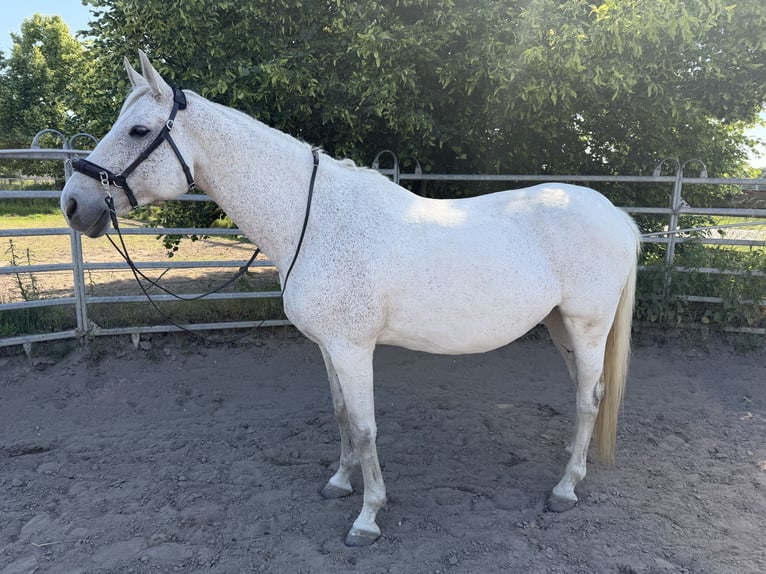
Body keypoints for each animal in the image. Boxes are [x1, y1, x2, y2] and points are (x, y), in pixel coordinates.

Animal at [61, 51, 641, 546]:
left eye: (138, 129)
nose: (73, 203)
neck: (315, 220)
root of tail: (616, 214)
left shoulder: (353, 348)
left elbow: (364, 428)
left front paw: (367, 517)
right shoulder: (327, 347)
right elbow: (341, 415)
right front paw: (340, 483)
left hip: (587, 325)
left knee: (589, 398)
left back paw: (565, 488)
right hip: (560, 325)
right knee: (583, 392)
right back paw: (571, 460)